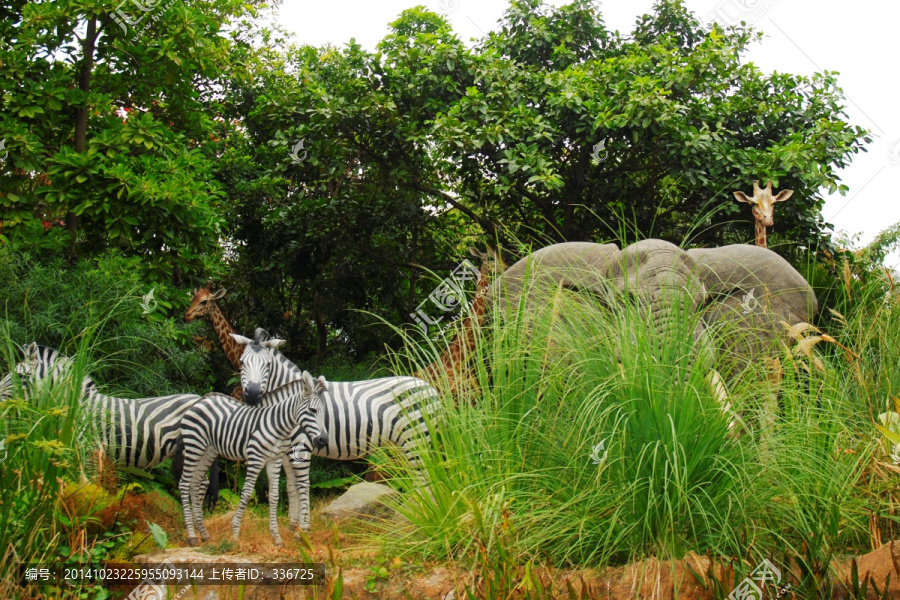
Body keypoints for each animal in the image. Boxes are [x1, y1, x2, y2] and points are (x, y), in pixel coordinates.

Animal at [2, 342, 221, 506]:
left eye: (20, 376)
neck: (78, 406)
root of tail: (204, 398)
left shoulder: (90, 450)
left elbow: (88, 486)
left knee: (199, 484)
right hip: (182, 453)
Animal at [178, 368, 328, 548]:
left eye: (324, 413)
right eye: (312, 411)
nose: (323, 440)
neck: (279, 426)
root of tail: (200, 401)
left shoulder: (274, 460)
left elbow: (274, 495)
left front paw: (276, 537)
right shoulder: (256, 458)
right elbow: (247, 492)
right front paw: (235, 532)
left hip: (209, 450)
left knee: (195, 483)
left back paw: (204, 533)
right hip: (194, 445)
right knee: (184, 483)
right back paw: (192, 536)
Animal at [232, 328, 442, 528]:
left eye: (267, 365)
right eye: (242, 363)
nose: (251, 395)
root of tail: (430, 387)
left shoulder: (301, 446)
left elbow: (301, 486)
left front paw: (302, 527)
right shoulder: (285, 450)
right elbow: (291, 487)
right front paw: (292, 525)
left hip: (416, 438)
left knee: (423, 480)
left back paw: (417, 520)